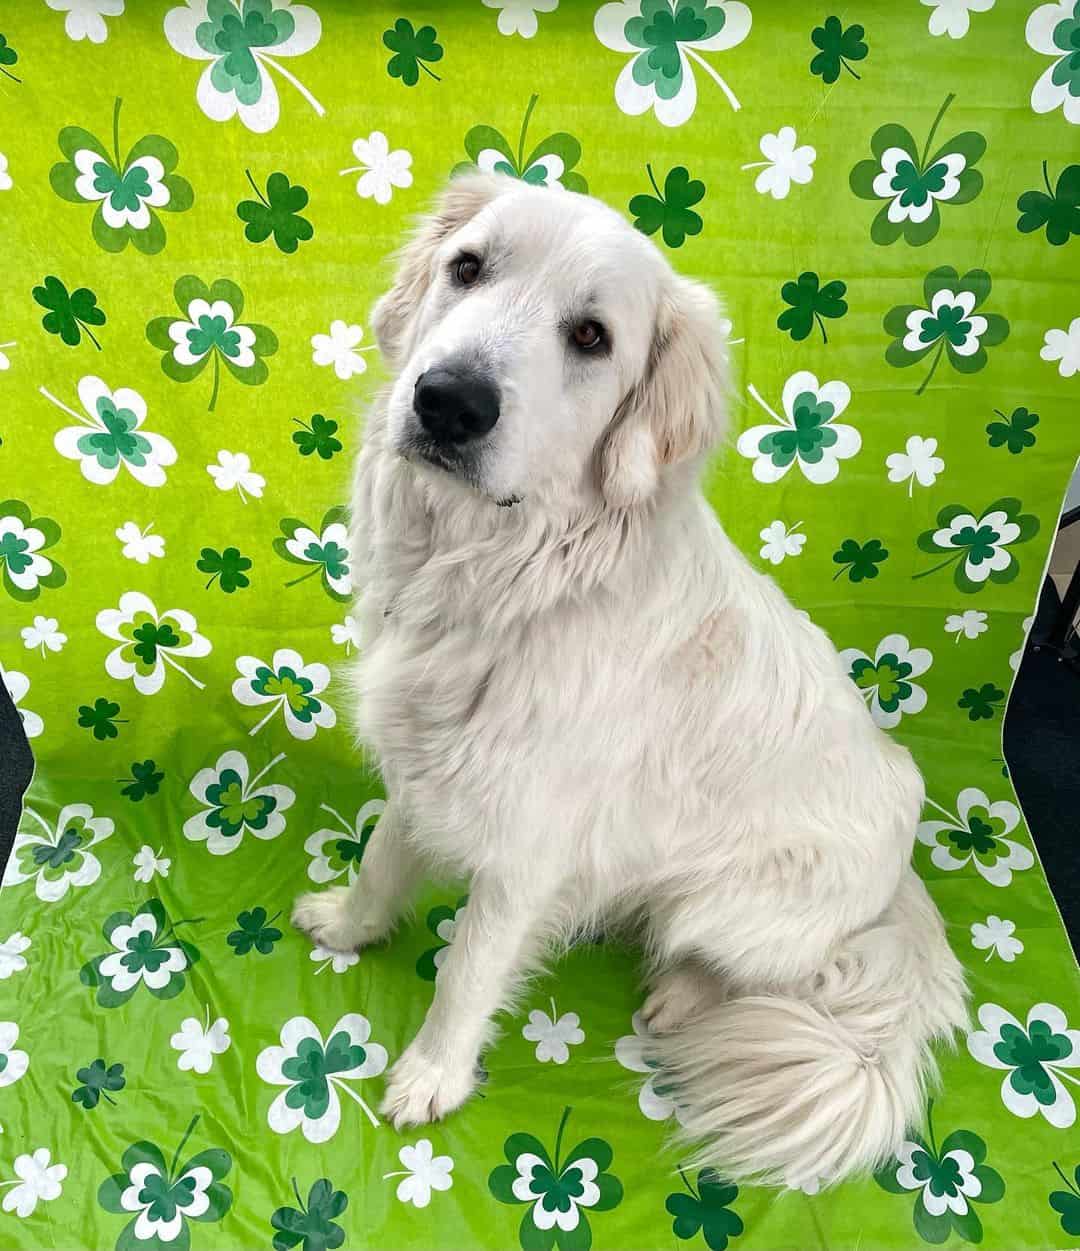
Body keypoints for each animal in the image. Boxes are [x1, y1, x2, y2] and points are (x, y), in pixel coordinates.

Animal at [295, 171, 971, 1185]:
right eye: (467, 268)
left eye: (590, 337)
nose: (448, 401)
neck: (501, 579)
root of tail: (904, 883)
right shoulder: (427, 765)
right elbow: (381, 857)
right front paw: (348, 924)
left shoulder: (526, 851)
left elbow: (468, 970)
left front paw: (431, 1077)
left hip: (728, 906)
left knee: (763, 967)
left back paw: (681, 996)